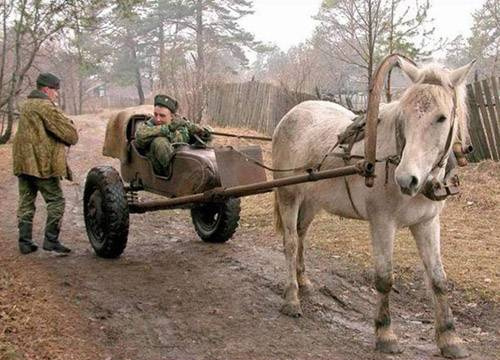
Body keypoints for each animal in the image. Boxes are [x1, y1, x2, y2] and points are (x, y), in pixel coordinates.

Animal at [272, 57, 474, 358]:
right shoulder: (382, 223)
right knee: (290, 243)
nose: (406, 179)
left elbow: (438, 278)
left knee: (301, 235)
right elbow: (384, 278)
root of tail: (292, 113)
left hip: (311, 200)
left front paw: (450, 338)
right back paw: (291, 298)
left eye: (441, 118)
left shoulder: (427, 223)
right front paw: (385, 333)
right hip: (288, 194)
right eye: (404, 115)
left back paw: (304, 282)